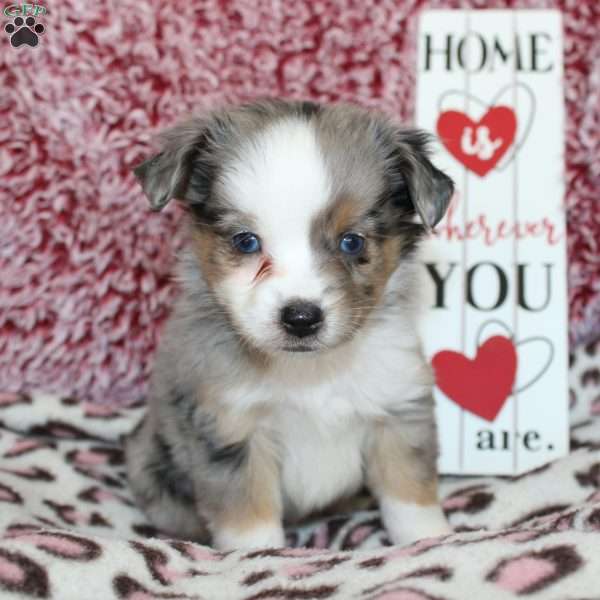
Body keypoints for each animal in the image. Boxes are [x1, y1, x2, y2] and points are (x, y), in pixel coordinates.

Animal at [126, 99, 454, 552]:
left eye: (352, 241)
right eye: (246, 241)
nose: (301, 318)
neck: (310, 372)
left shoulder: (397, 408)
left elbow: (410, 496)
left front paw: (431, 541)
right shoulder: (231, 429)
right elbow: (249, 521)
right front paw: (259, 557)